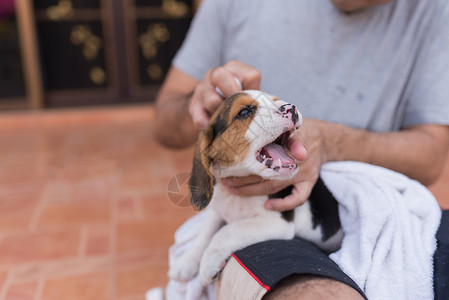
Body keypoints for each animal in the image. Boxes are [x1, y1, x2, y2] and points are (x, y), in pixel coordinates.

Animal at [169, 91, 344, 286]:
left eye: (275, 100)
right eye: (244, 112)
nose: (291, 108)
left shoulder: (277, 223)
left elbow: (226, 231)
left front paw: (208, 263)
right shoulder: (218, 209)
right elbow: (206, 232)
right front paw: (186, 262)